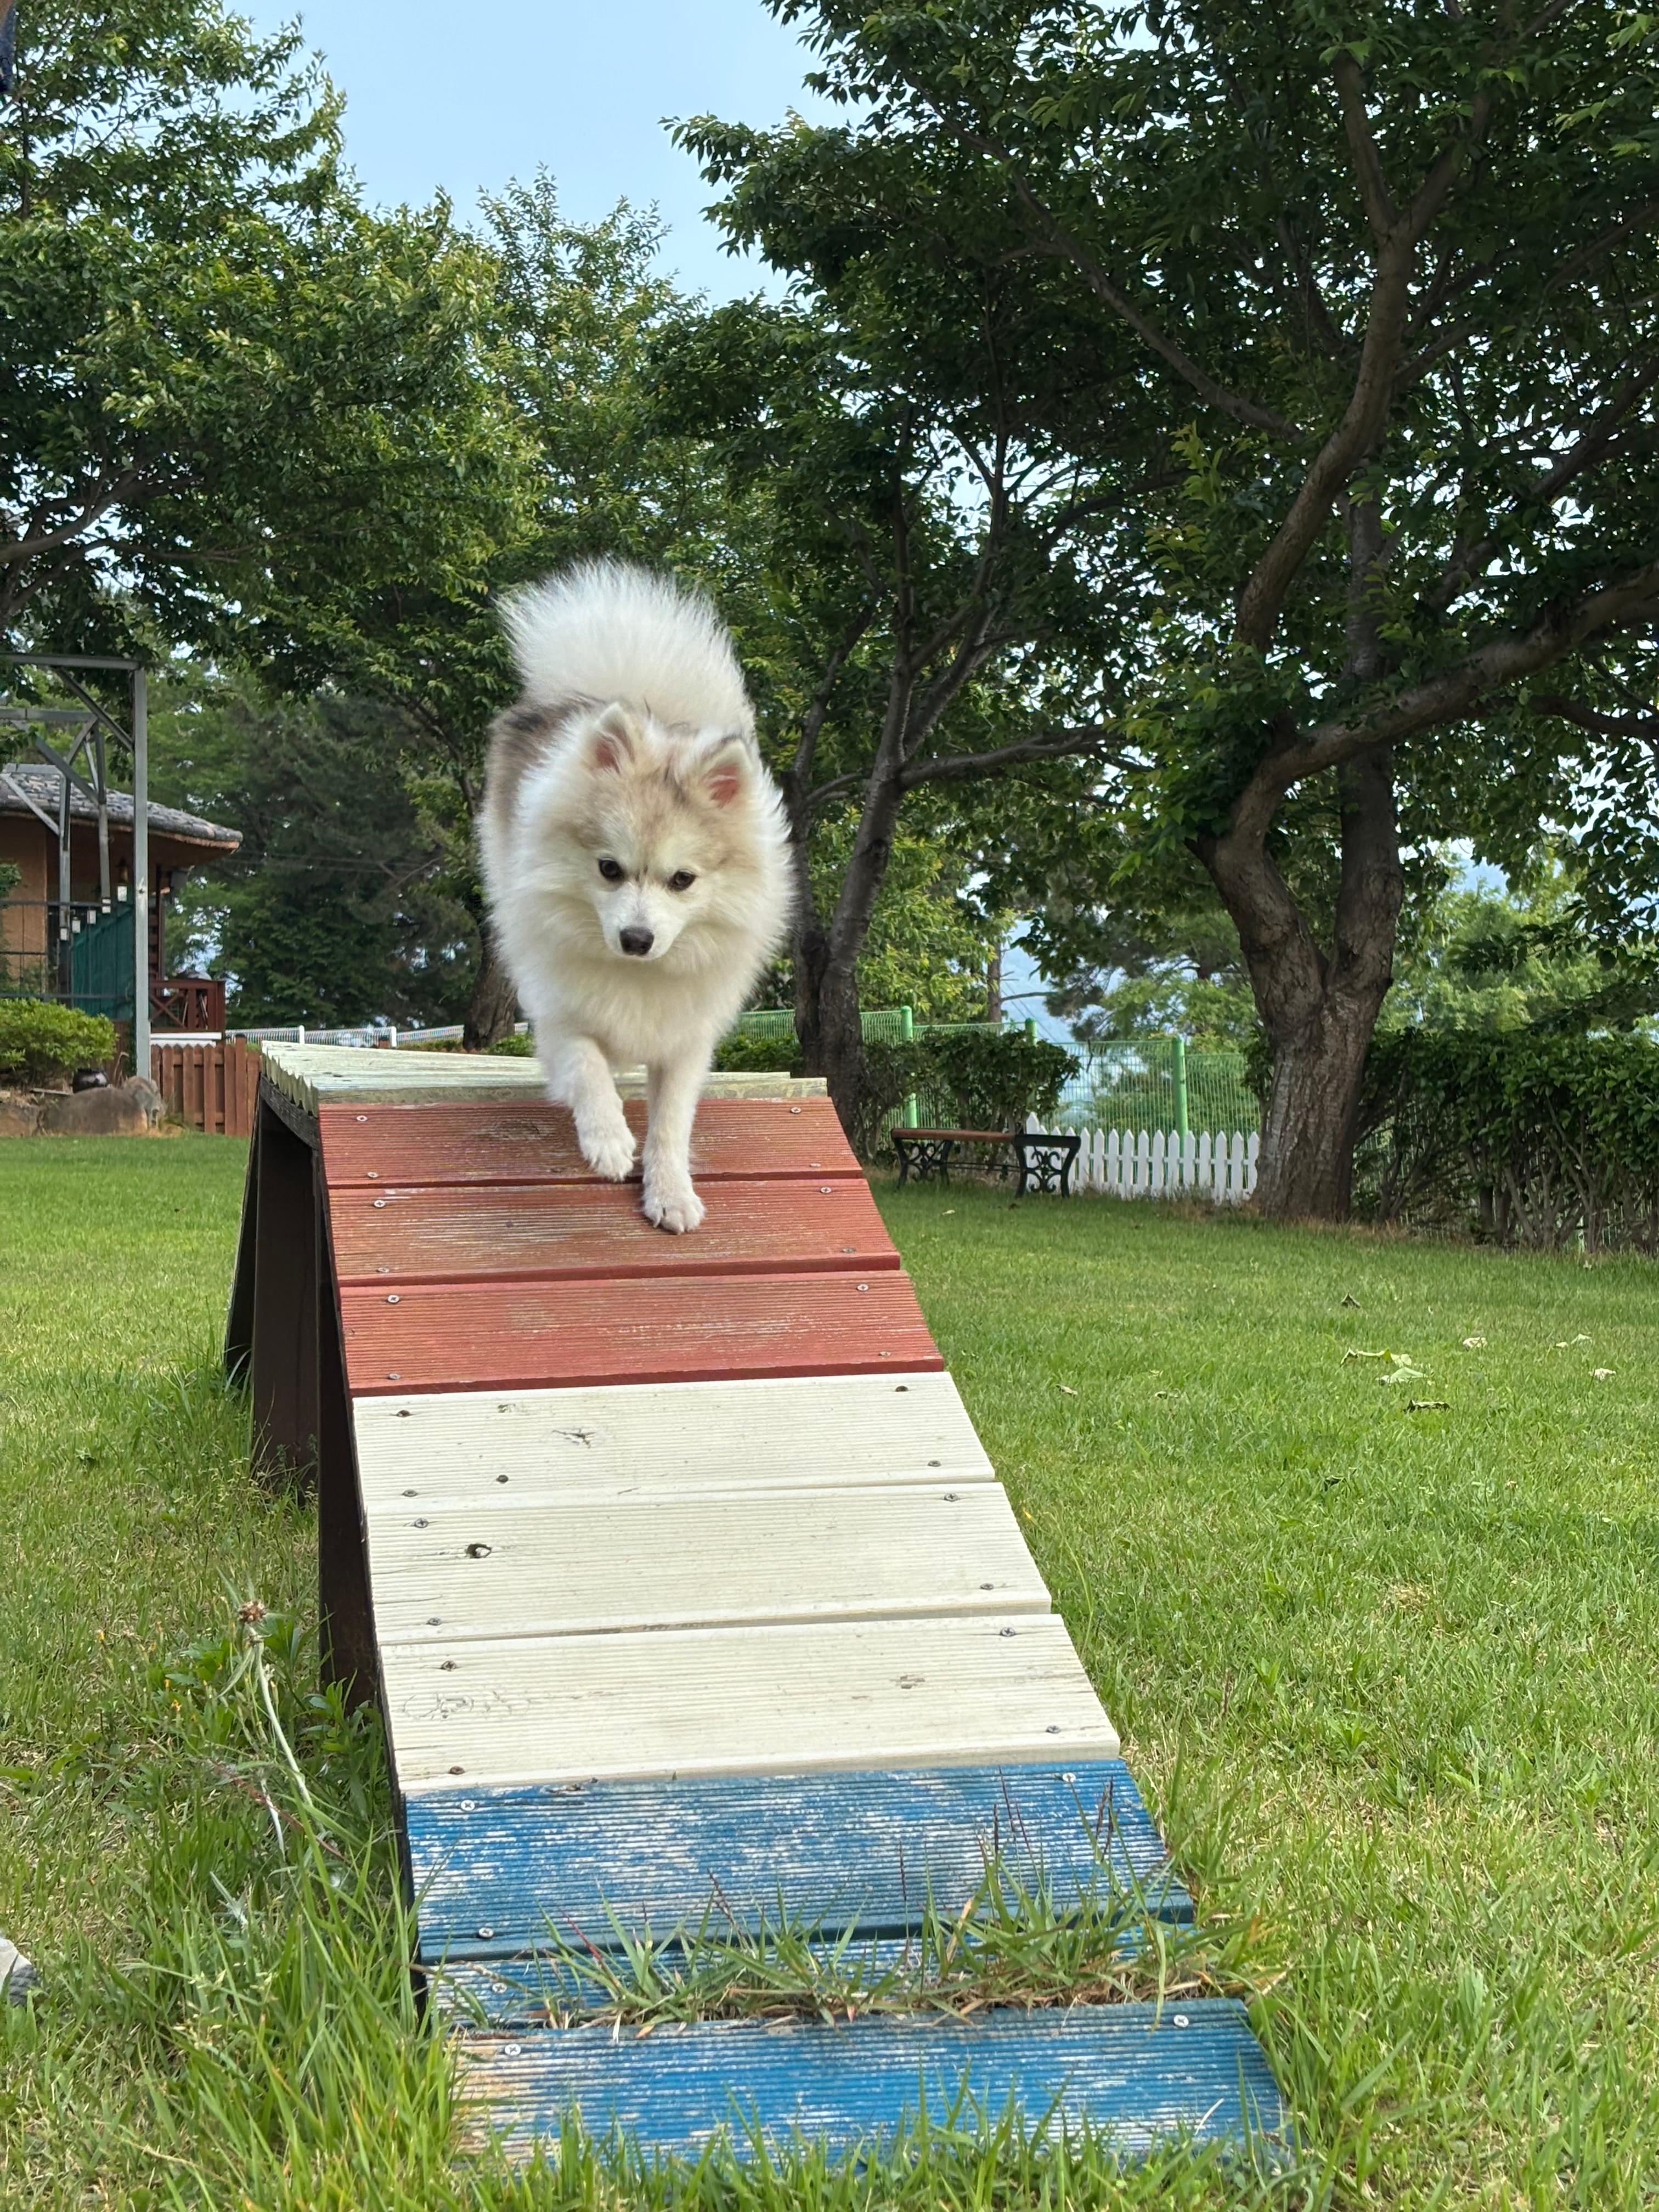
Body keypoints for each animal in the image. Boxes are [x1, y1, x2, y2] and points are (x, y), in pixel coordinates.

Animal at [479, 562, 792, 1233]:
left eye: (683, 880)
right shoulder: (561, 1012)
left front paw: (670, 1192)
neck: (639, 975)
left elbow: (671, 1124)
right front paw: (608, 1140)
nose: (637, 939)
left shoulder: (686, 1043)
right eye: (609, 869)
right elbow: (587, 1065)